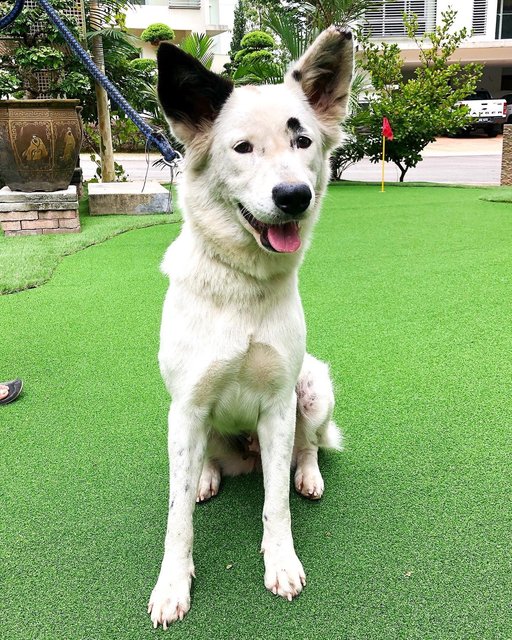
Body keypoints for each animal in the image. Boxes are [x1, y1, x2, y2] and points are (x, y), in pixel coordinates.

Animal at [148, 27, 354, 628]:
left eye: (302, 140)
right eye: (242, 148)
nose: (294, 196)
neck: (242, 283)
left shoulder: (279, 405)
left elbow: (275, 506)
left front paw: (281, 562)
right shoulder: (187, 405)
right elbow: (176, 519)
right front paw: (172, 585)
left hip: (314, 385)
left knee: (307, 448)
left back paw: (308, 475)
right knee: (206, 461)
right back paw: (207, 477)